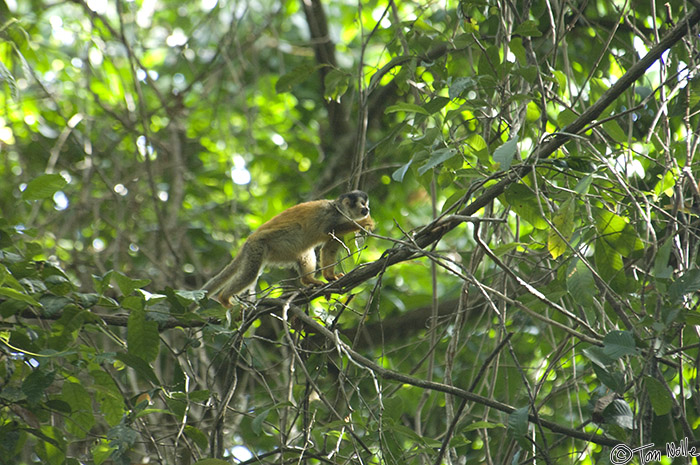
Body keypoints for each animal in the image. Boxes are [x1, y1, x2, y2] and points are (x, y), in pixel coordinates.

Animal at [202, 189, 374, 304]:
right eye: (363, 204)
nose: (367, 210)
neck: (342, 210)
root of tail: (247, 242)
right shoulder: (333, 215)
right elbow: (327, 229)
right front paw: (365, 222)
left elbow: (329, 249)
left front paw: (330, 276)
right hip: (257, 247)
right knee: (250, 274)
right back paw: (224, 298)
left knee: (304, 251)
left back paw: (308, 280)